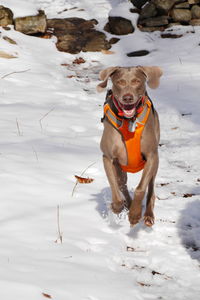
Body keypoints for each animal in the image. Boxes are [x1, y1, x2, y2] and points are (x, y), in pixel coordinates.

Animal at [96, 65, 162, 225]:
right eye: (119, 81)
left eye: (136, 81)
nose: (127, 98)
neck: (129, 120)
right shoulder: (108, 158)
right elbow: (114, 185)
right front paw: (117, 206)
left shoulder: (151, 156)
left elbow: (141, 188)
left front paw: (135, 214)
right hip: (120, 166)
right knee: (122, 184)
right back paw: (128, 204)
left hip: (155, 162)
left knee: (151, 187)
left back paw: (147, 215)